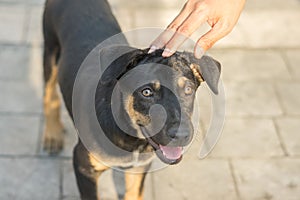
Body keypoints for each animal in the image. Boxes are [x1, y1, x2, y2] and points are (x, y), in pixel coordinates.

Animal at [42, 0, 220, 200]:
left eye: (188, 90)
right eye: (146, 92)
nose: (181, 135)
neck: (132, 138)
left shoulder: (139, 167)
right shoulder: (83, 166)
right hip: (50, 51)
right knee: (49, 95)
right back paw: (52, 135)